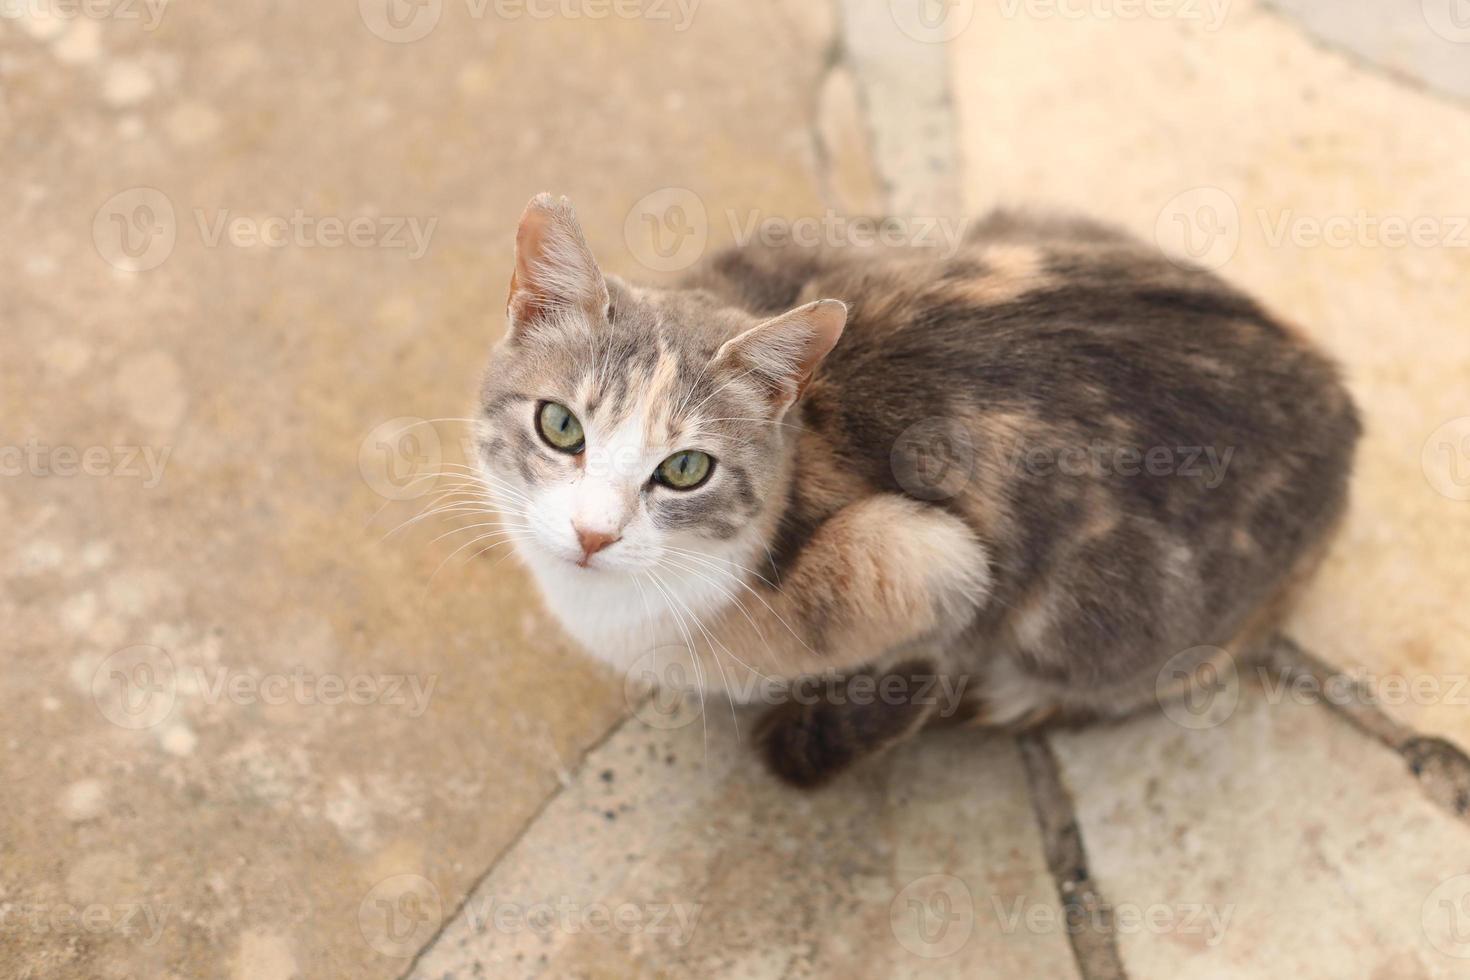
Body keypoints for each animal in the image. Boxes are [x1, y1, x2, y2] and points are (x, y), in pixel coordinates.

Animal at [470, 193, 1352, 787]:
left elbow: (914, 668)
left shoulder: (930, 562)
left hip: (1109, 621)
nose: (593, 534)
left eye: (686, 470)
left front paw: (815, 728)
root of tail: (1341, 407)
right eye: (560, 426)